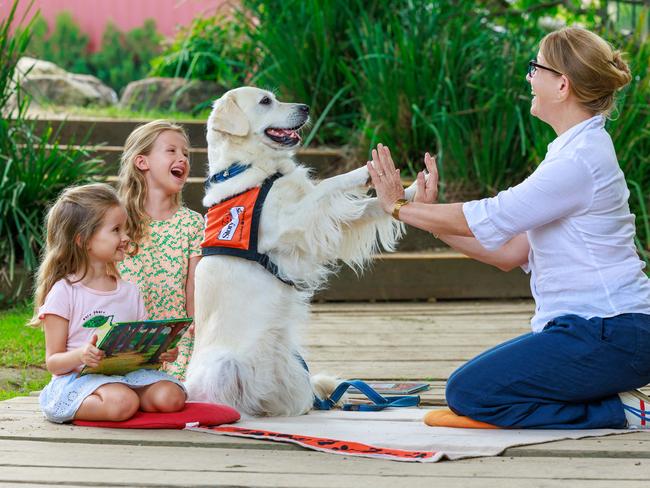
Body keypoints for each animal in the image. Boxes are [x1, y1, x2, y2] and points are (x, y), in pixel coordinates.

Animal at [184, 86, 416, 416]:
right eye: (265, 101)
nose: (306, 107)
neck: (251, 169)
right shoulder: (291, 220)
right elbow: (329, 184)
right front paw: (364, 172)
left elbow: (368, 206)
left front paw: (413, 189)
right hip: (224, 367)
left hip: (292, 367)